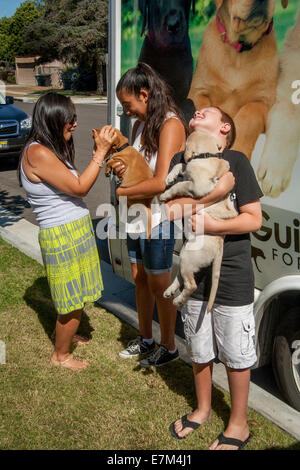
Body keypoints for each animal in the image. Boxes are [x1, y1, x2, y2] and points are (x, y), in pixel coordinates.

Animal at [189, 0, 290, 160]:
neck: (240, 53)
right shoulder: (197, 91)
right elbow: (200, 110)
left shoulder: (266, 102)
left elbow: (248, 114)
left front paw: (239, 148)